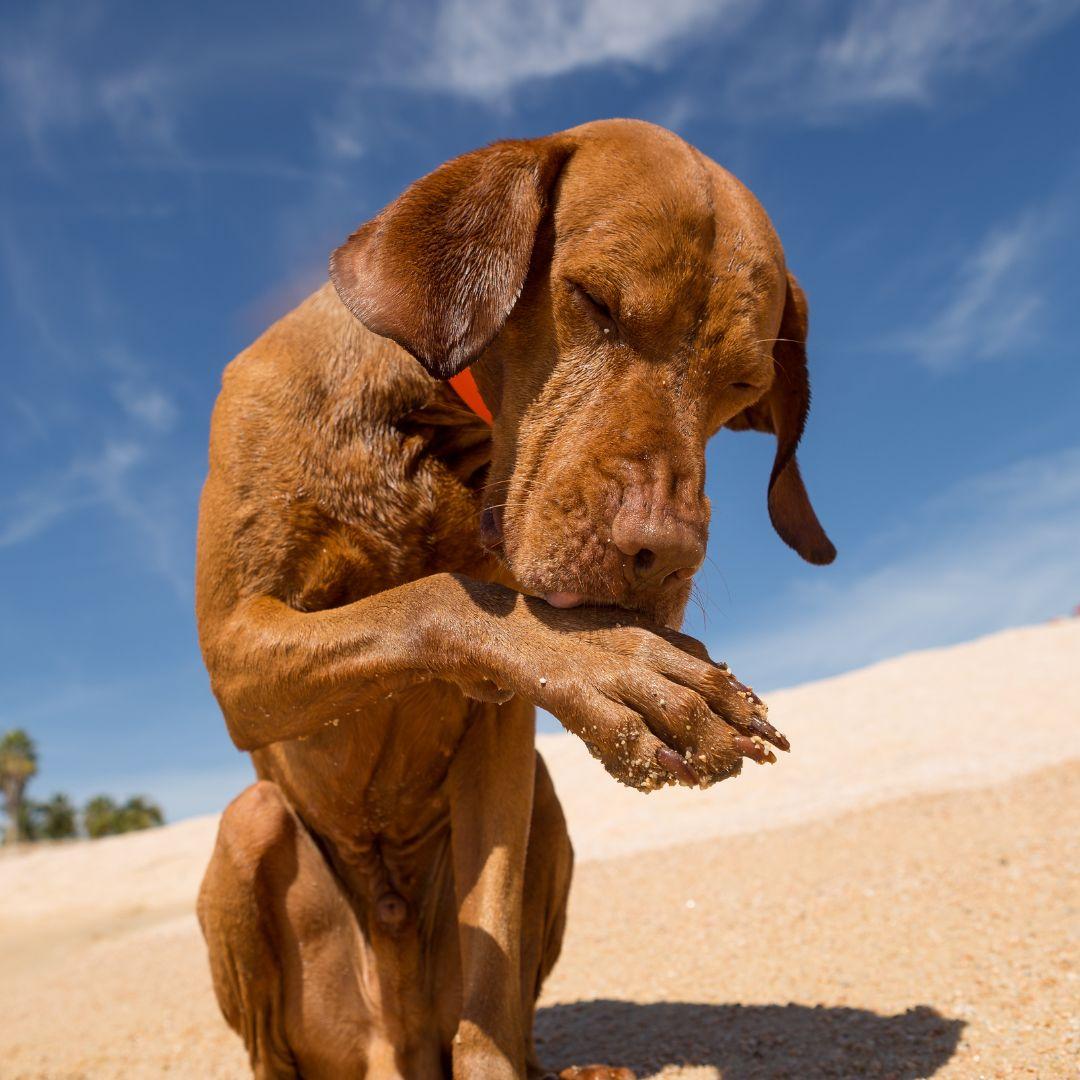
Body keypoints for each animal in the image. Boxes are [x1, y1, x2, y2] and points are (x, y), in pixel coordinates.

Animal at [194, 118, 833, 1080]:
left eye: (744, 389)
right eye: (594, 302)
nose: (665, 554)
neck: (432, 425)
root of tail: (397, 1045)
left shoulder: (499, 758)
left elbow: (491, 974)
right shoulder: (237, 651)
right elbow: (433, 598)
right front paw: (618, 664)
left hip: (545, 820)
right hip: (252, 835)